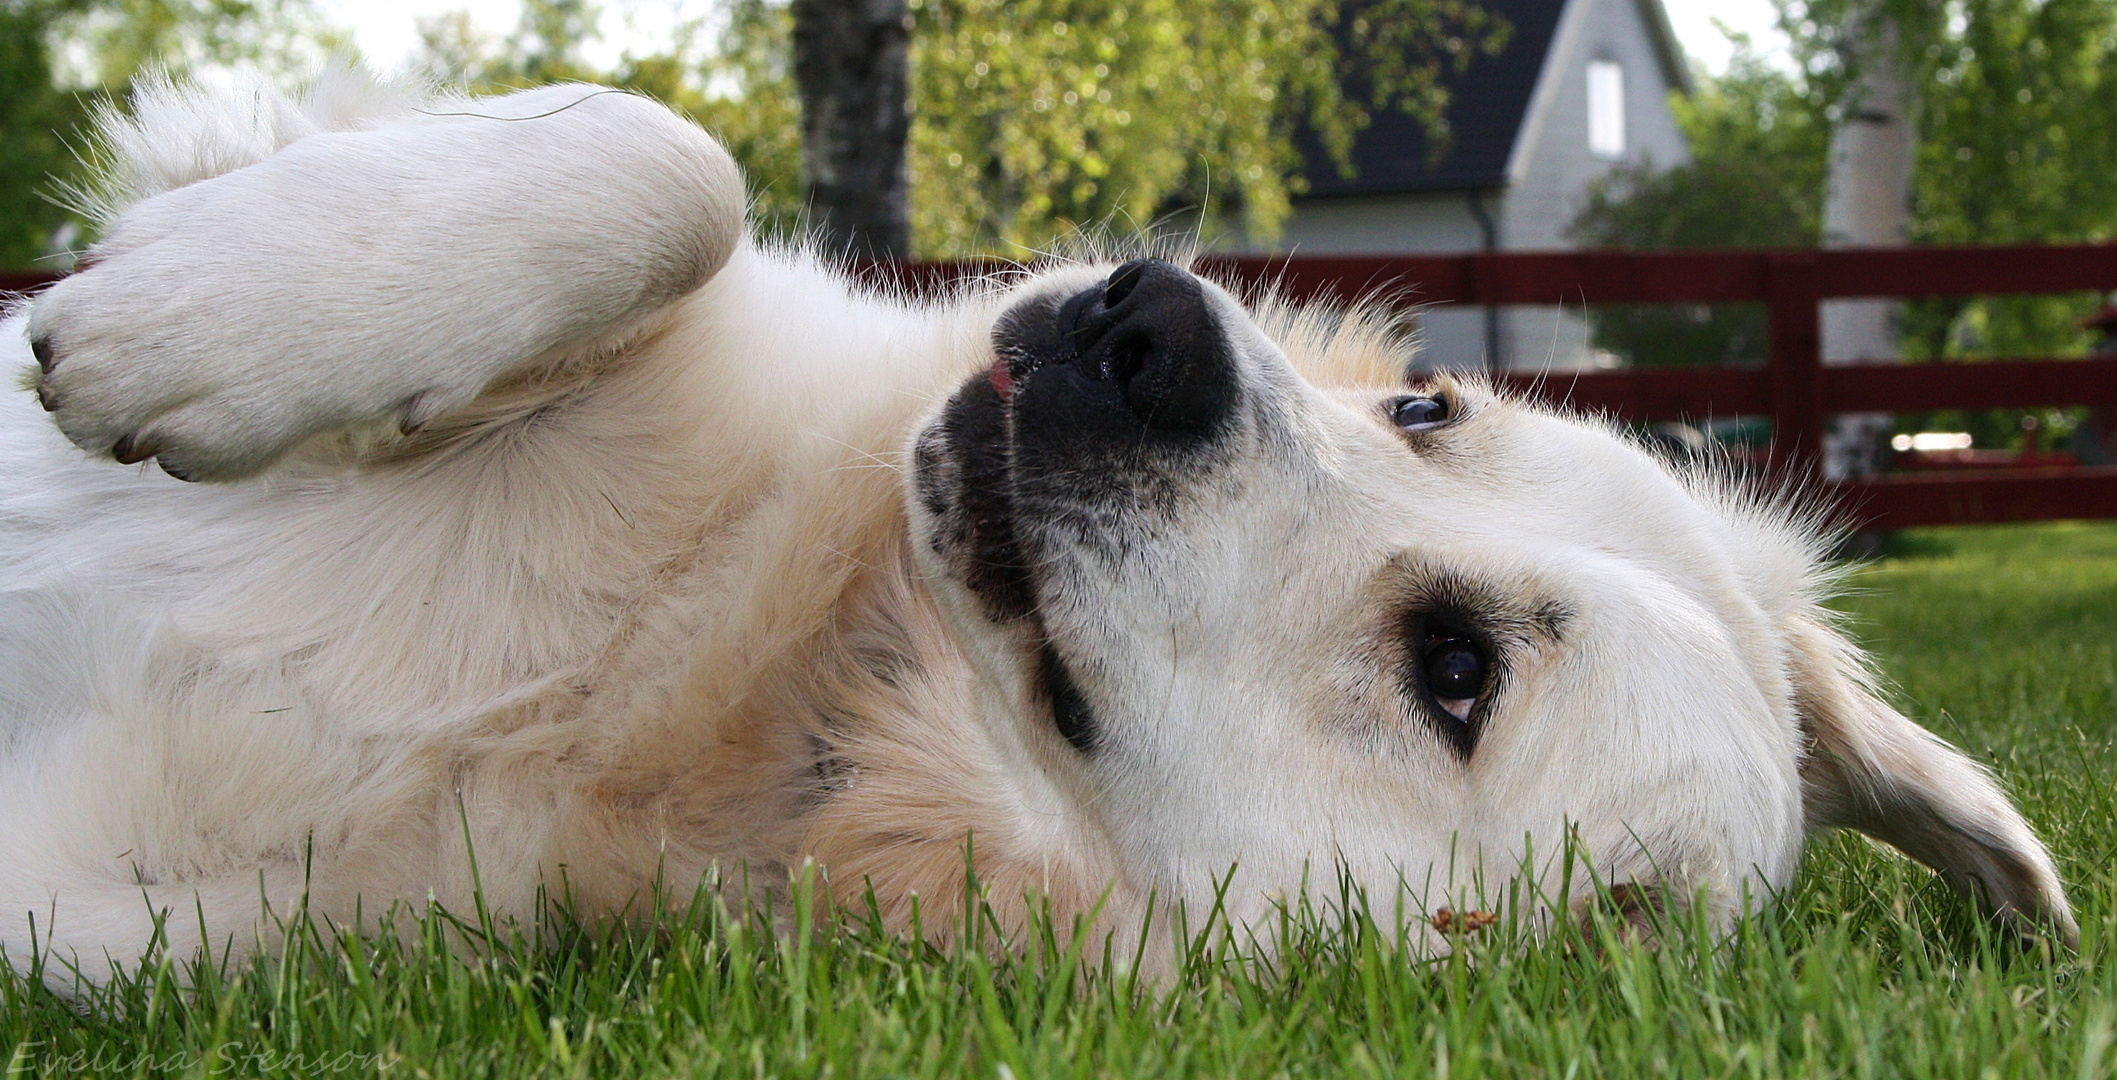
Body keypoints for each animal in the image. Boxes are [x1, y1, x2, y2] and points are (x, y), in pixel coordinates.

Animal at [0, 71, 2083, 974]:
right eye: (1425, 407)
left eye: (1452, 674)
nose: (1145, 324)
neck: (809, 684)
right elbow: (666, 158)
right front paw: (183, 319)